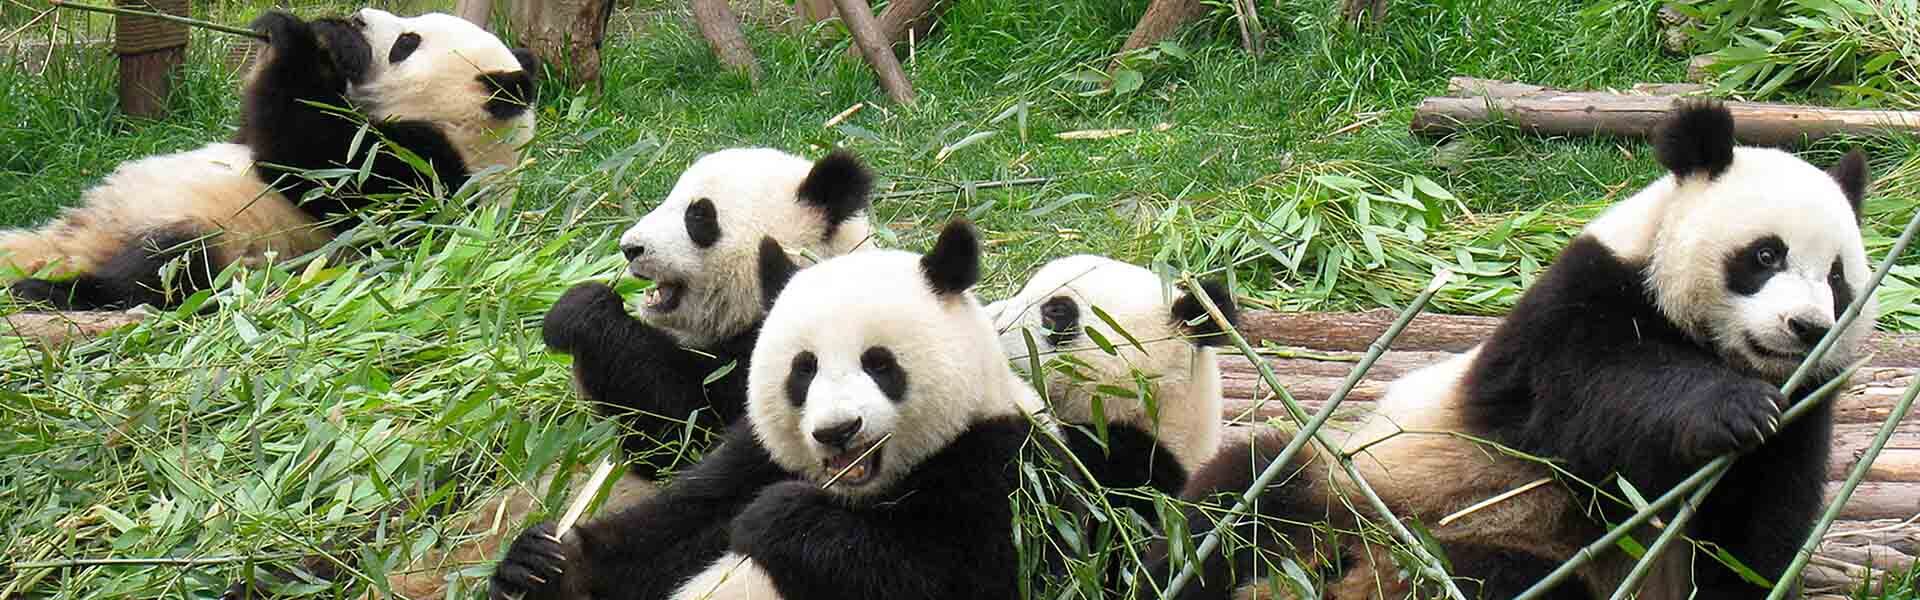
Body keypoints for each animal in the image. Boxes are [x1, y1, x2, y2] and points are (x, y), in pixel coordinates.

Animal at [1, 9, 537, 311]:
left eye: (407, 44)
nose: (359, 17)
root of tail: (84, 240)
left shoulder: (424, 176)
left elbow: (310, 163)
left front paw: (304, 36)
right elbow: (260, 130)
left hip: (217, 239)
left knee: (160, 274)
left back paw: (50, 291)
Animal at [491, 219, 1039, 600]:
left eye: (879, 364)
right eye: (804, 370)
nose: (838, 430)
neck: (858, 491)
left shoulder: (993, 466)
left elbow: (959, 578)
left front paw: (779, 517)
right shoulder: (751, 456)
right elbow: (670, 526)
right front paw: (543, 566)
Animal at [1150, 101, 1876, 600]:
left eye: (1837, 277)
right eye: (1765, 255)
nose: (1806, 327)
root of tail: (1358, 570)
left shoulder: (1807, 408)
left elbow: (1754, 534)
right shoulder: (1569, 313)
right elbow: (1599, 399)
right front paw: (1735, 408)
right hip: (1357, 483)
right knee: (1239, 502)